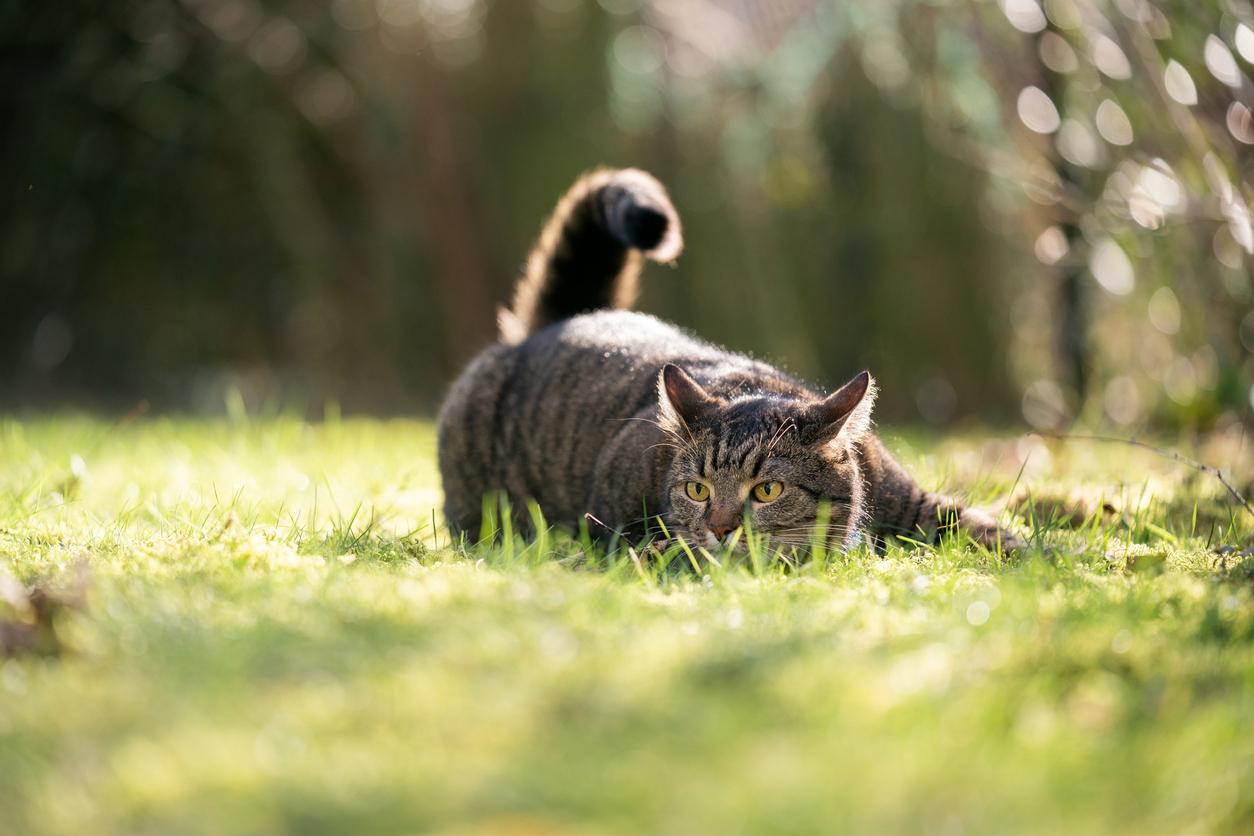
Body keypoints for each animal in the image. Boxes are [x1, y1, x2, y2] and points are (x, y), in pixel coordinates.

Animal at [438, 166, 1018, 551]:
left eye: (767, 490)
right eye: (697, 490)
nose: (720, 528)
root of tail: (560, 320)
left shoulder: (917, 503)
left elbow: (983, 528)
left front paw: (1036, 559)